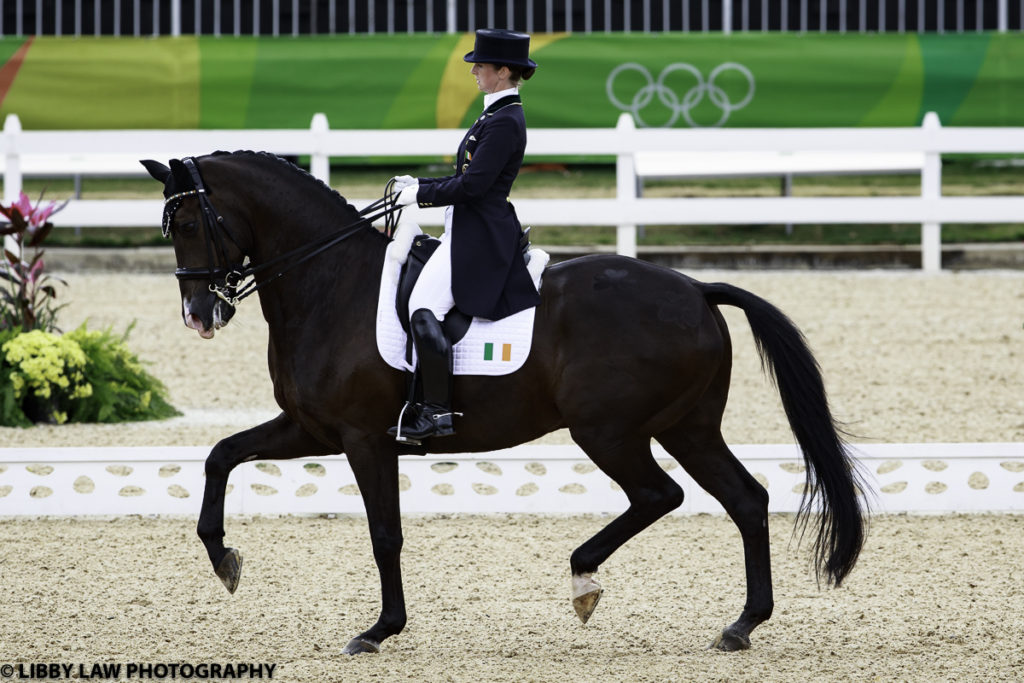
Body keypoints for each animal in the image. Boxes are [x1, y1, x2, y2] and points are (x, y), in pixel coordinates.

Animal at [142, 150, 864, 655]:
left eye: (189, 222)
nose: (199, 314)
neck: (329, 281)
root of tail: (697, 289)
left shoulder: (363, 436)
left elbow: (384, 533)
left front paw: (379, 629)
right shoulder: (311, 427)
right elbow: (220, 454)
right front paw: (224, 560)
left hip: (609, 430)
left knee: (660, 494)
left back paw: (585, 580)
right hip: (687, 425)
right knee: (745, 498)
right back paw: (740, 625)